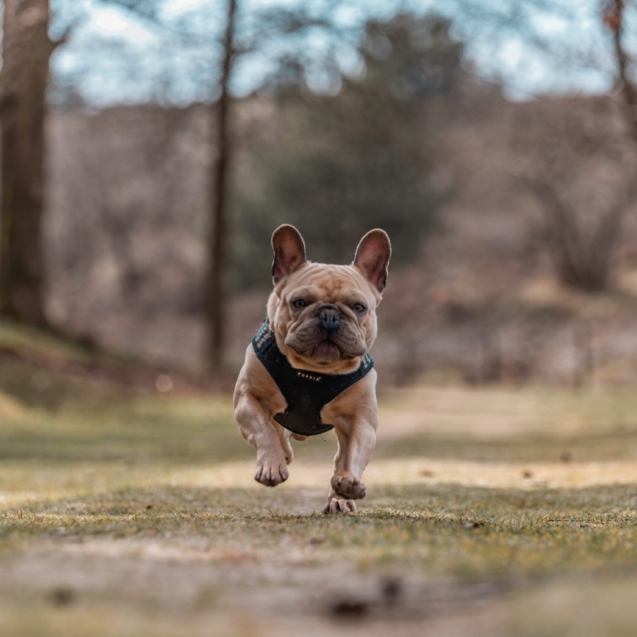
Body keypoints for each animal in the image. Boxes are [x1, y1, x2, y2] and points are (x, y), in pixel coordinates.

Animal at [234, 224, 390, 512]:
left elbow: (353, 453)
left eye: (359, 307)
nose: (329, 316)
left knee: (339, 458)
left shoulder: (360, 419)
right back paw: (282, 455)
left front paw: (348, 482)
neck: (315, 371)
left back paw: (340, 498)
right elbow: (264, 429)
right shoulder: (248, 398)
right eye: (299, 303)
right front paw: (271, 465)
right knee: (277, 431)